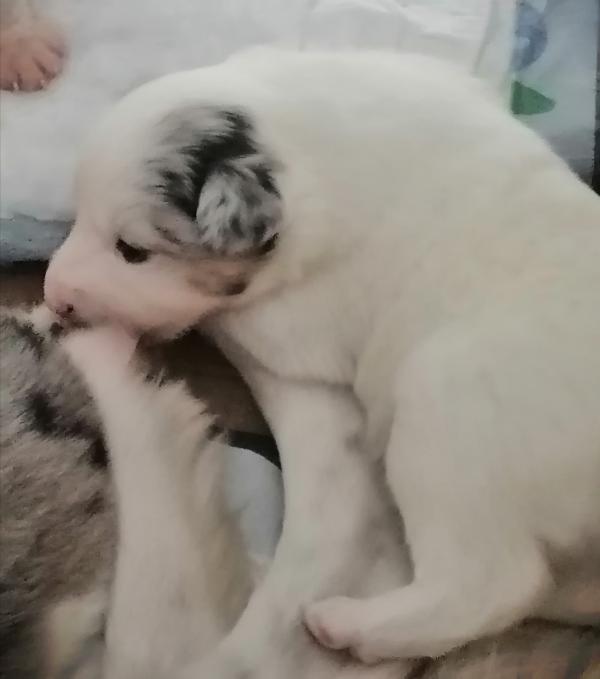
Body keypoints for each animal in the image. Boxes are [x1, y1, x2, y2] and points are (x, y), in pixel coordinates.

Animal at [44, 49, 600, 669]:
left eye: (133, 251)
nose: (53, 295)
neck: (298, 142)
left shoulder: (291, 325)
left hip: (447, 413)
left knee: (492, 583)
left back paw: (347, 625)